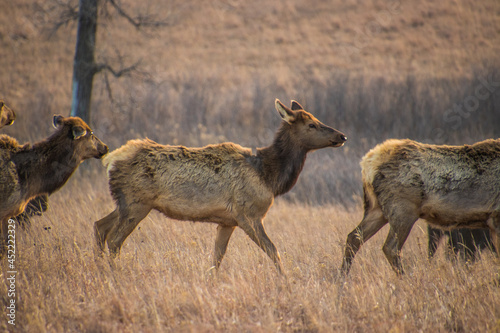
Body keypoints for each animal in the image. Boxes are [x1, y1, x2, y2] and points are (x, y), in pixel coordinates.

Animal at [94, 98, 346, 272]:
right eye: (312, 125)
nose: (342, 136)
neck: (269, 177)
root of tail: (111, 160)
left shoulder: (227, 221)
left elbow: (217, 257)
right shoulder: (248, 214)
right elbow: (274, 251)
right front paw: (286, 281)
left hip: (124, 203)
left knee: (100, 226)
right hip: (137, 203)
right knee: (115, 240)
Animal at [342, 137, 500, 274]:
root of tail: (368, 163)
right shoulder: (495, 216)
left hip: (377, 210)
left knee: (353, 237)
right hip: (403, 211)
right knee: (391, 247)